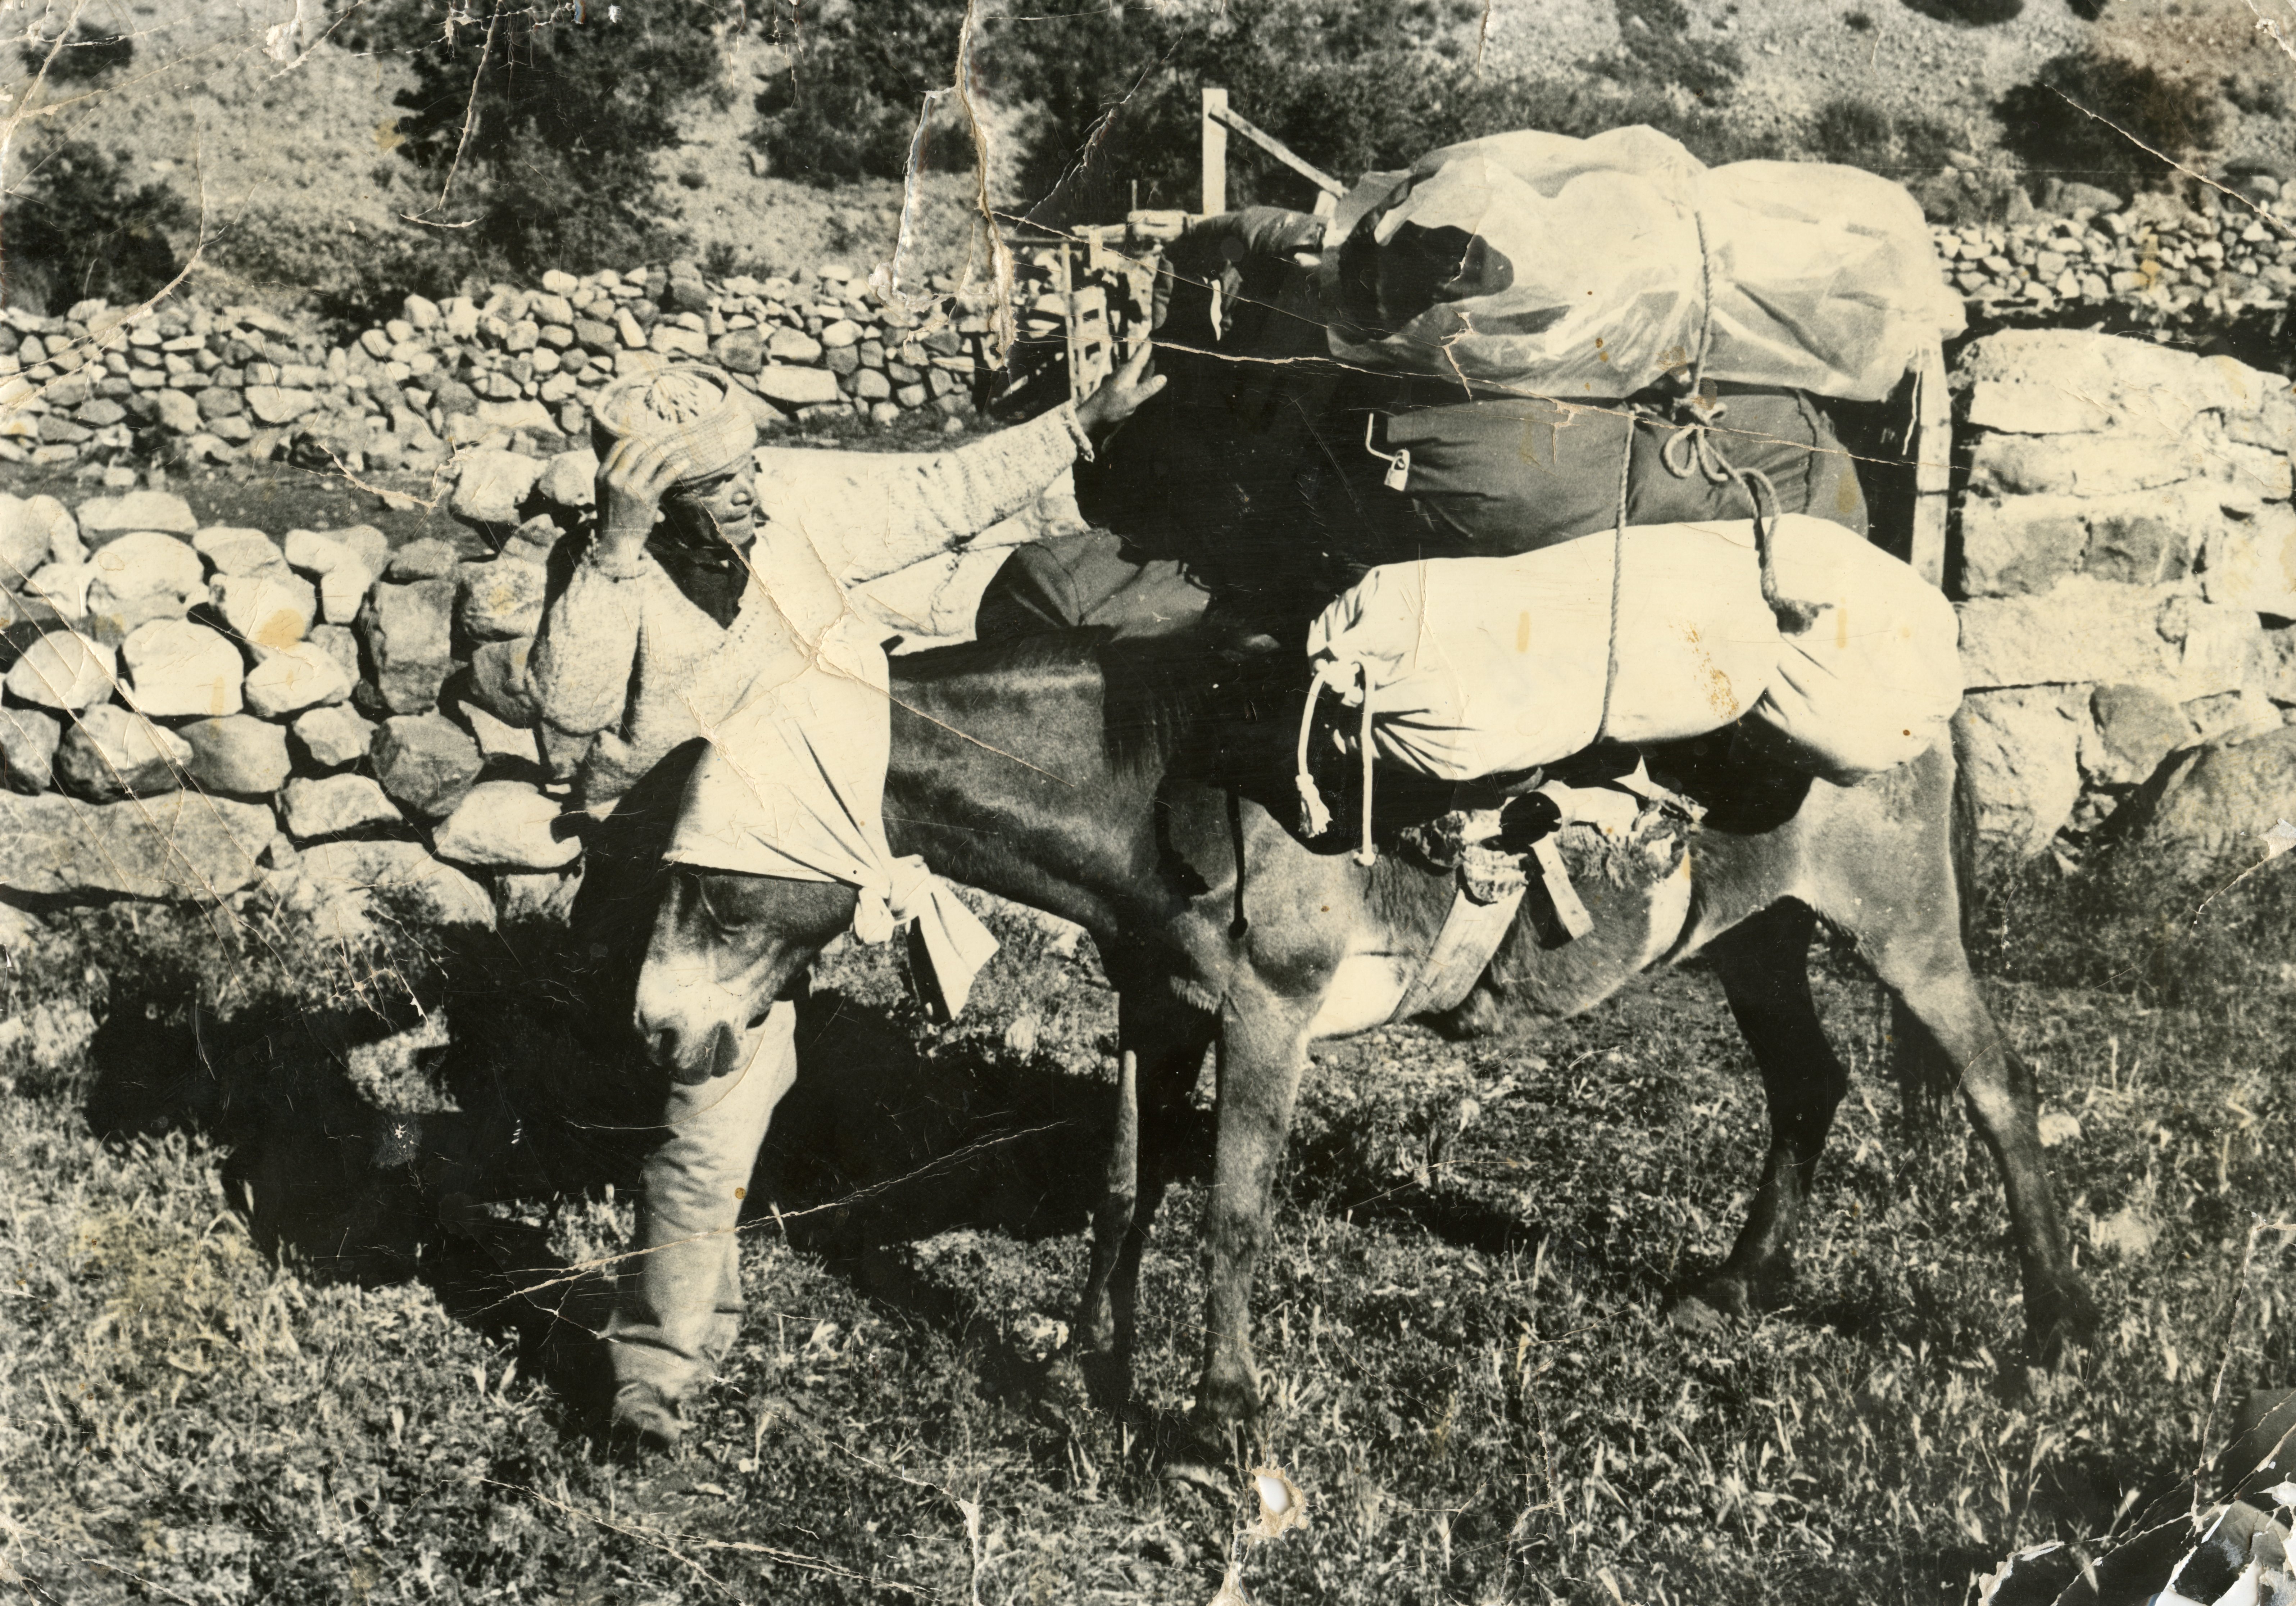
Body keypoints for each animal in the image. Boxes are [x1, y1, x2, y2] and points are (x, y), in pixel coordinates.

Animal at [633, 627, 2099, 1457]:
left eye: (712, 876)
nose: (660, 1028)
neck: (1159, 786)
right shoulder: (1155, 1008)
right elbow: (1125, 1177)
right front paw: (1081, 1363)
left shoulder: (1266, 1021)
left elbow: (1233, 1208)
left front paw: (1219, 1422)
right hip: (1757, 935)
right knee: (1810, 1081)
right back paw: (1741, 1281)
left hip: (1902, 926)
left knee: (2000, 1091)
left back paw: (2053, 1331)